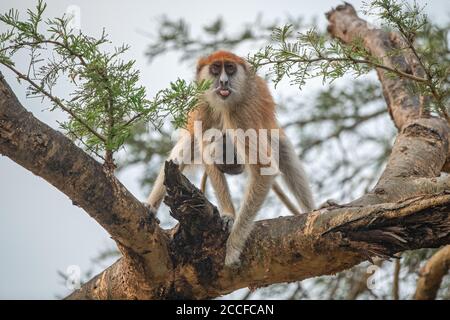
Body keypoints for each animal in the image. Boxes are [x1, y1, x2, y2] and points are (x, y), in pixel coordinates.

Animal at [146, 51, 314, 266]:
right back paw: (151, 206)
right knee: (192, 144)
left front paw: (233, 246)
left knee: (283, 151)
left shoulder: (240, 114)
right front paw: (228, 214)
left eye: (231, 69)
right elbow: (203, 153)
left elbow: (263, 168)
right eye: (216, 68)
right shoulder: (203, 106)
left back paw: (312, 210)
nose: (224, 81)